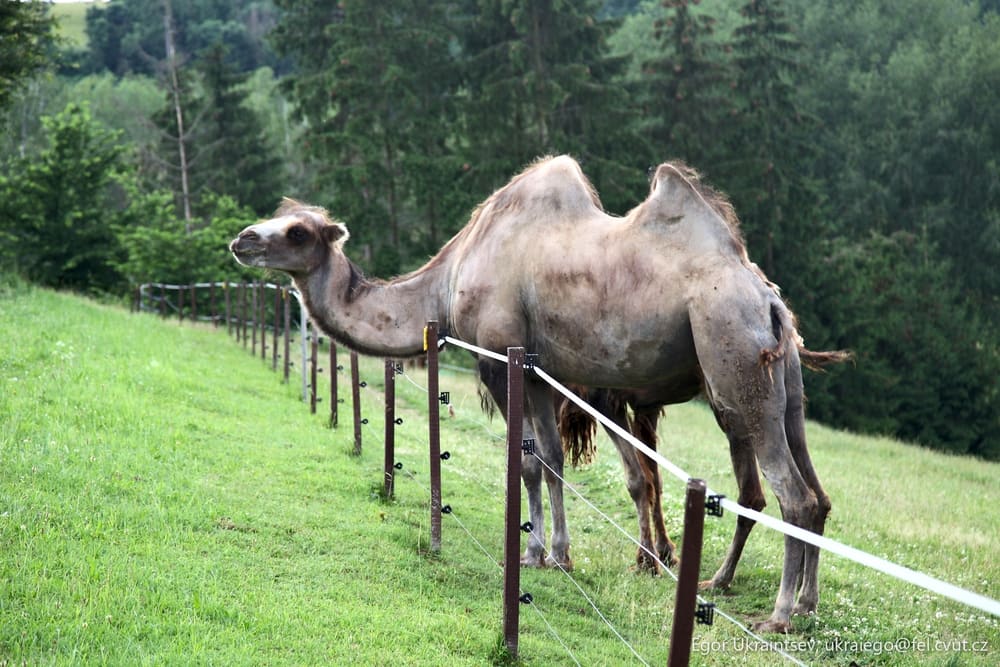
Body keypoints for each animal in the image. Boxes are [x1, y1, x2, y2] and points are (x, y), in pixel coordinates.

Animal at [230, 155, 846, 632]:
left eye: (297, 231)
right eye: (280, 218)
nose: (241, 240)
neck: (445, 284)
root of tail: (767, 298)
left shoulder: (499, 360)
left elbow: (525, 463)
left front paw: (532, 553)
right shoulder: (540, 373)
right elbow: (550, 459)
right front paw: (558, 554)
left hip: (731, 352)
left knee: (791, 494)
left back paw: (777, 613)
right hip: (781, 380)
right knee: (815, 492)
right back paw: (804, 604)